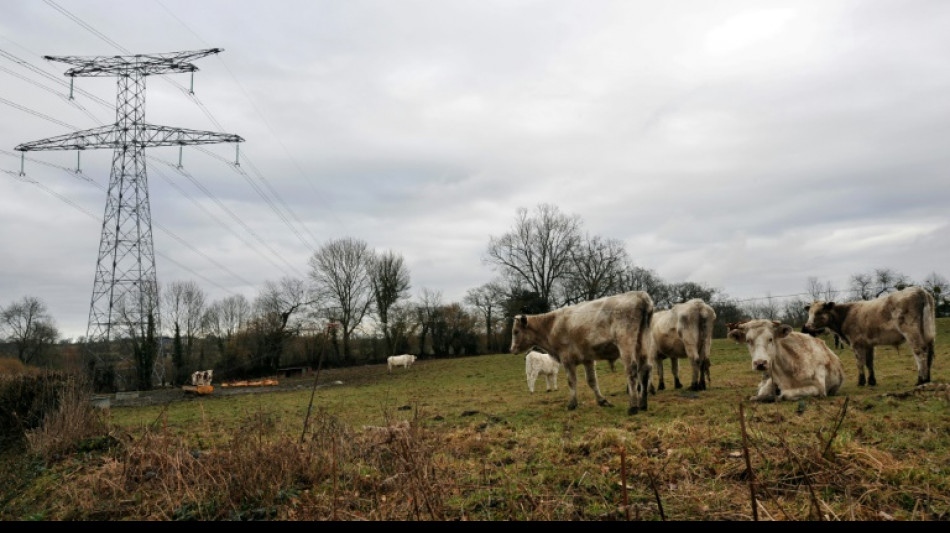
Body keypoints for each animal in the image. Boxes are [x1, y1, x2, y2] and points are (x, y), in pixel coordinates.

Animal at [510, 291, 654, 415]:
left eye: (516, 332)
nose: (511, 349)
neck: (552, 325)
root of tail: (640, 295)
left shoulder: (567, 359)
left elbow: (571, 381)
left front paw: (572, 404)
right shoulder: (587, 359)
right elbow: (592, 381)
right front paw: (602, 401)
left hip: (626, 343)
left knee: (632, 370)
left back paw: (633, 406)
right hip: (643, 342)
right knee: (645, 369)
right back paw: (643, 404)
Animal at [803, 286, 936, 387]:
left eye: (819, 312)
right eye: (809, 312)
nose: (807, 326)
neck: (845, 315)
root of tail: (919, 290)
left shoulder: (857, 344)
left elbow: (860, 362)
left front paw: (861, 381)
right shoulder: (868, 344)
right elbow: (869, 362)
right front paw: (872, 381)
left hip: (911, 331)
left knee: (919, 351)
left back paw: (921, 379)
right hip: (928, 332)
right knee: (929, 352)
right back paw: (928, 379)